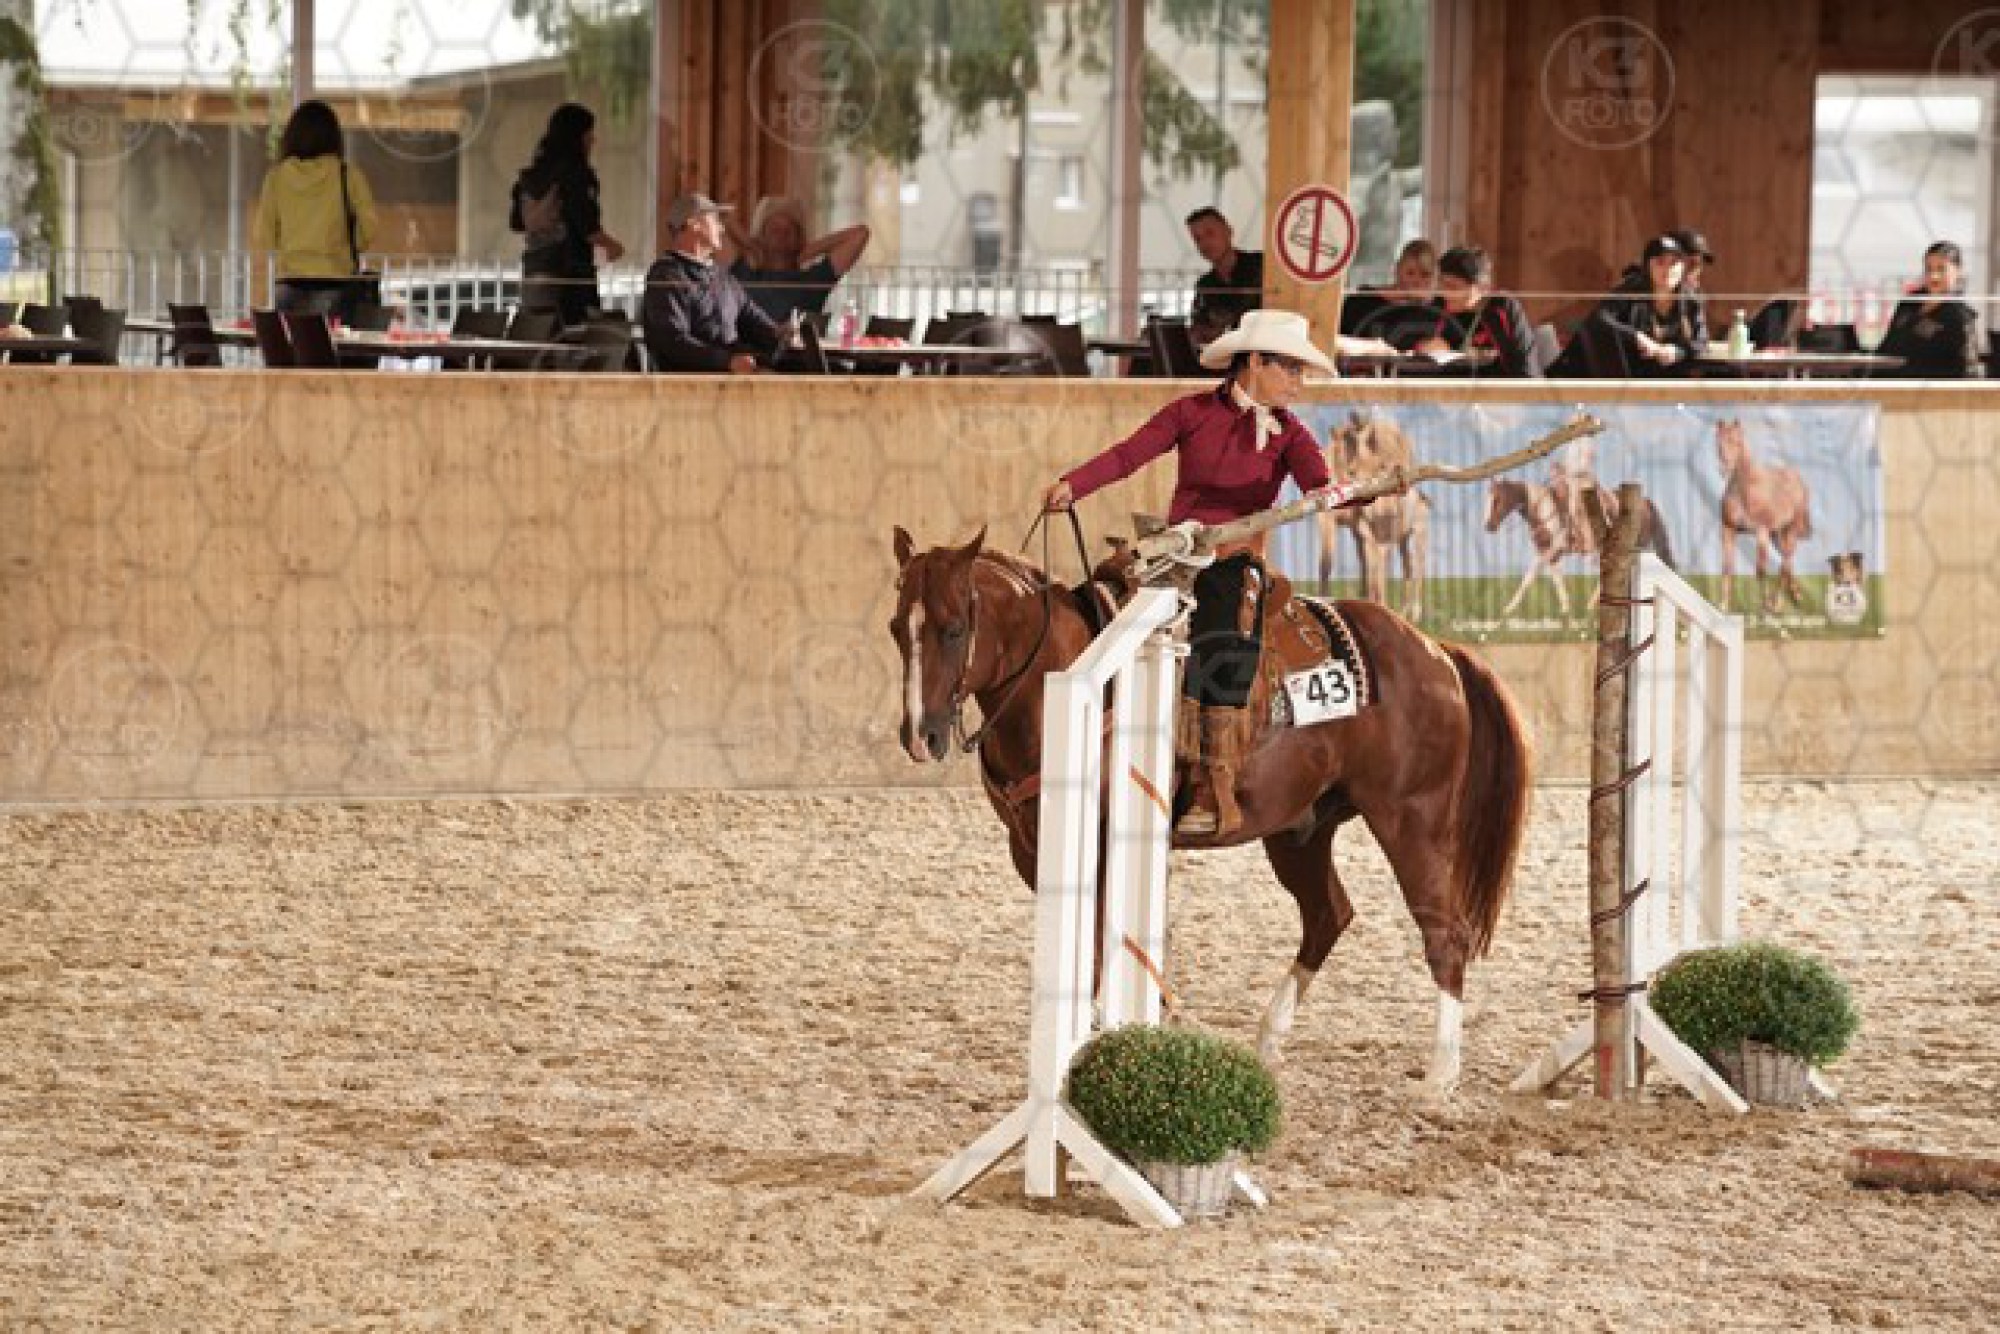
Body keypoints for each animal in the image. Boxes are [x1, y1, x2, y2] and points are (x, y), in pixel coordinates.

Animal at [889, 525, 1533, 1095]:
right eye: (898, 628)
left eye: (953, 629)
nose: (920, 736)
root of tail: (1436, 651)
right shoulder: (1032, 848)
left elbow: (1102, 944)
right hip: (1300, 831)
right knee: (1328, 915)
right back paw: (1269, 1040)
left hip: (1412, 822)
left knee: (1444, 934)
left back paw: (1440, 1075)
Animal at [1315, 412, 1429, 621]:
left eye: (1381, 465)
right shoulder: (1336, 523)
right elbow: (1327, 565)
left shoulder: (1379, 539)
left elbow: (1376, 575)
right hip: (1399, 537)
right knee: (1405, 565)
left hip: (1416, 535)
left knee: (1416, 566)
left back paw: (1412, 613)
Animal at [1483, 477, 1677, 617]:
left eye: (1497, 499)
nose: (1488, 526)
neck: (1546, 510)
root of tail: (1646, 502)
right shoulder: (1548, 552)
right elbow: (1548, 579)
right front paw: (1565, 610)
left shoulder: (1552, 550)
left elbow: (1531, 577)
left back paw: (1592, 606)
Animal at [1715, 418, 1812, 612]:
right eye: (1719, 444)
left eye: (1737, 442)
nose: (1724, 469)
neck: (1745, 489)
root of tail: (1799, 480)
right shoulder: (1728, 529)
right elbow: (1727, 567)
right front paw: (1723, 605)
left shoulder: (1761, 531)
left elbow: (1760, 570)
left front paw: (1766, 606)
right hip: (1777, 534)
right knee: (1787, 560)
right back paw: (1796, 595)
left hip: (1790, 531)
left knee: (1785, 562)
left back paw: (1777, 604)